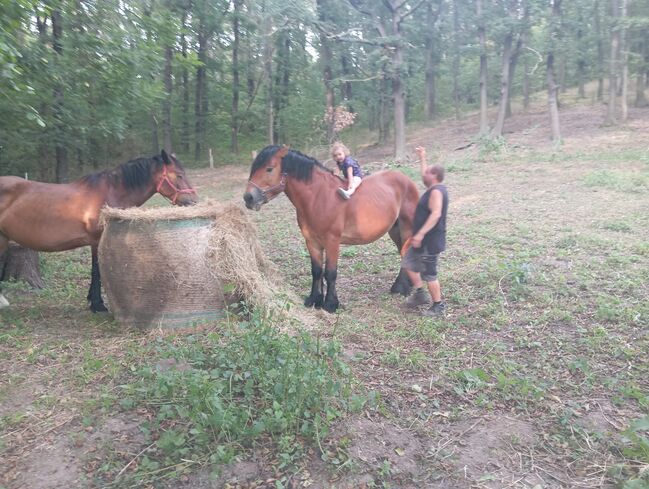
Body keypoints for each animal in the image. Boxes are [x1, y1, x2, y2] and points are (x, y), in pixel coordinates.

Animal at [0, 149, 197, 310]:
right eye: (179, 175)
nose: (193, 201)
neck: (110, 191)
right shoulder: (96, 240)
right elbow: (97, 270)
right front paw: (98, 304)